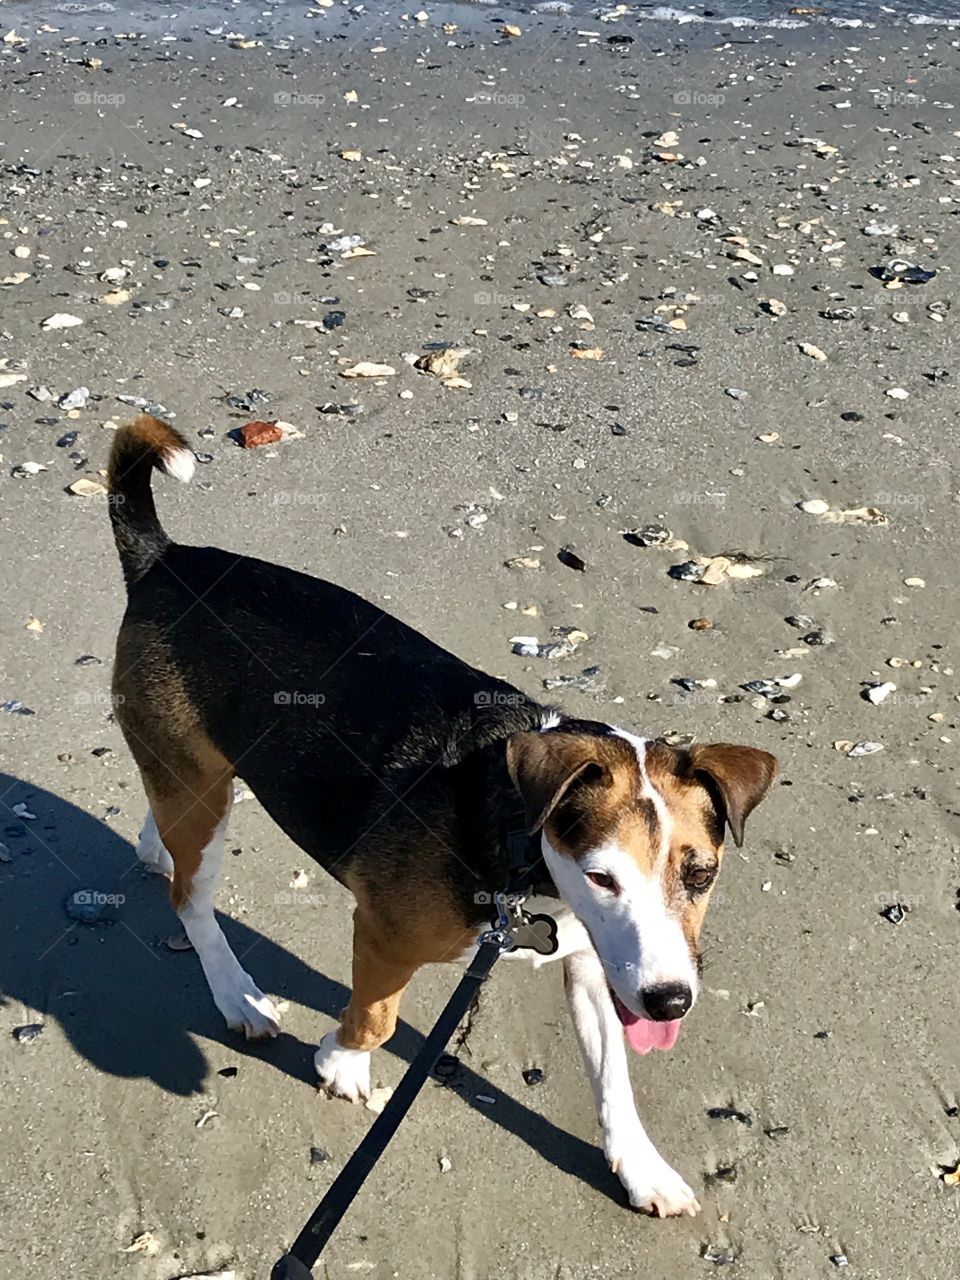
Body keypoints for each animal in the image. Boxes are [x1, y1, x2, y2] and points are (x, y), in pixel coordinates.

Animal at [106, 414, 783, 1213]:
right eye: (602, 877)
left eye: (702, 875)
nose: (669, 1002)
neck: (525, 855)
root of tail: (164, 561)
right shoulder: (383, 934)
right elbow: (376, 1019)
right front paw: (342, 1065)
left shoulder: (598, 965)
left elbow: (614, 1078)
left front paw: (640, 1167)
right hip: (205, 802)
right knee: (192, 898)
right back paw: (238, 993)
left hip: (196, 778)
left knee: (167, 822)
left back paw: (155, 849)